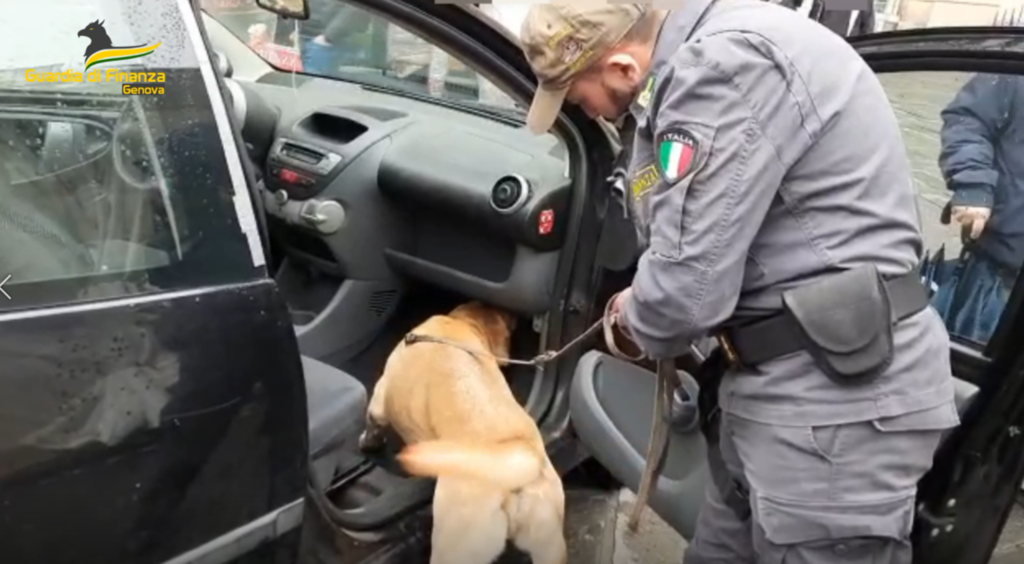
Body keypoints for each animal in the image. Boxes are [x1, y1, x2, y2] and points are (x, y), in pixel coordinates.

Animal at [358, 301, 567, 564]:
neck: (459, 324)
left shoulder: (379, 399)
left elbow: (372, 426)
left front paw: (368, 443)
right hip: (549, 542)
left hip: (453, 546)